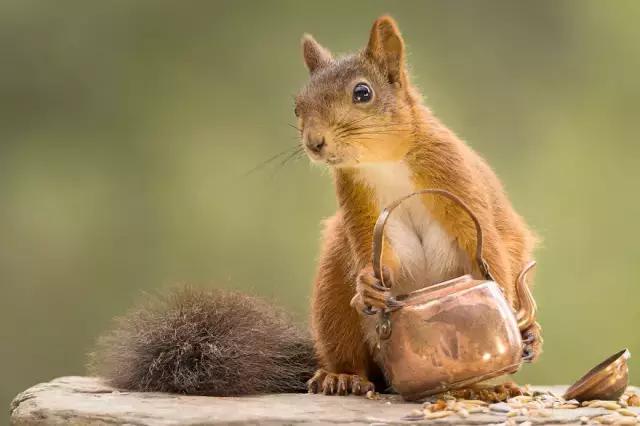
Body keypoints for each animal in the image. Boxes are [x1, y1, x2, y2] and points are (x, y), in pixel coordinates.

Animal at [90, 15, 540, 398]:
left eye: (363, 93)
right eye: (297, 106)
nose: (314, 142)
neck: (384, 161)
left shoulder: (456, 179)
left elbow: (489, 247)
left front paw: (508, 309)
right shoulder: (357, 204)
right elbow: (377, 254)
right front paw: (369, 283)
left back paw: (495, 377)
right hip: (333, 294)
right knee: (350, 352)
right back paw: (341, 376)